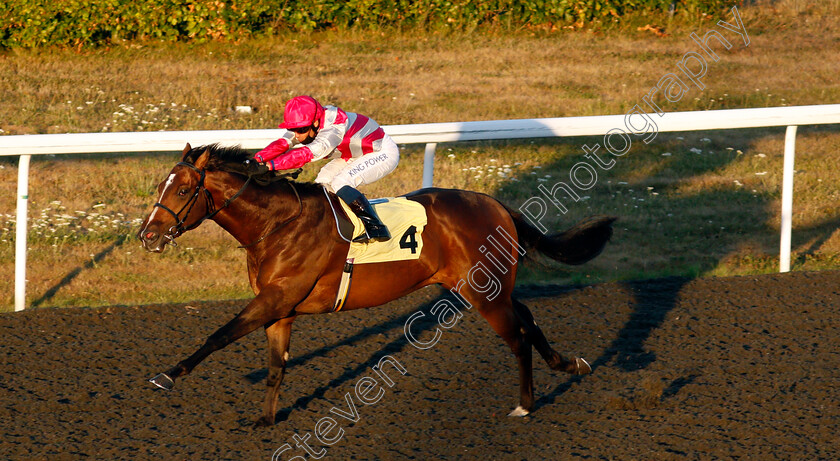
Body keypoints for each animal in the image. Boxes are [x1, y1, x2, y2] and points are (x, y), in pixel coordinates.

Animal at [136, 142, 612, 426]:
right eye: (161, 184)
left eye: (182, 191)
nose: (147, 236)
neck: (277, 223)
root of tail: (494, 203)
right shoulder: (280, 308)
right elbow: (276, 366)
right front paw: (267, 419)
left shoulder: (276, 297)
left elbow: (219, 335)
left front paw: (166, 376)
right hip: (491, 285)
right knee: (528, 318)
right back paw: (569, 364)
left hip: (481, 291)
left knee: (517, 337)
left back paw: (525, 403)